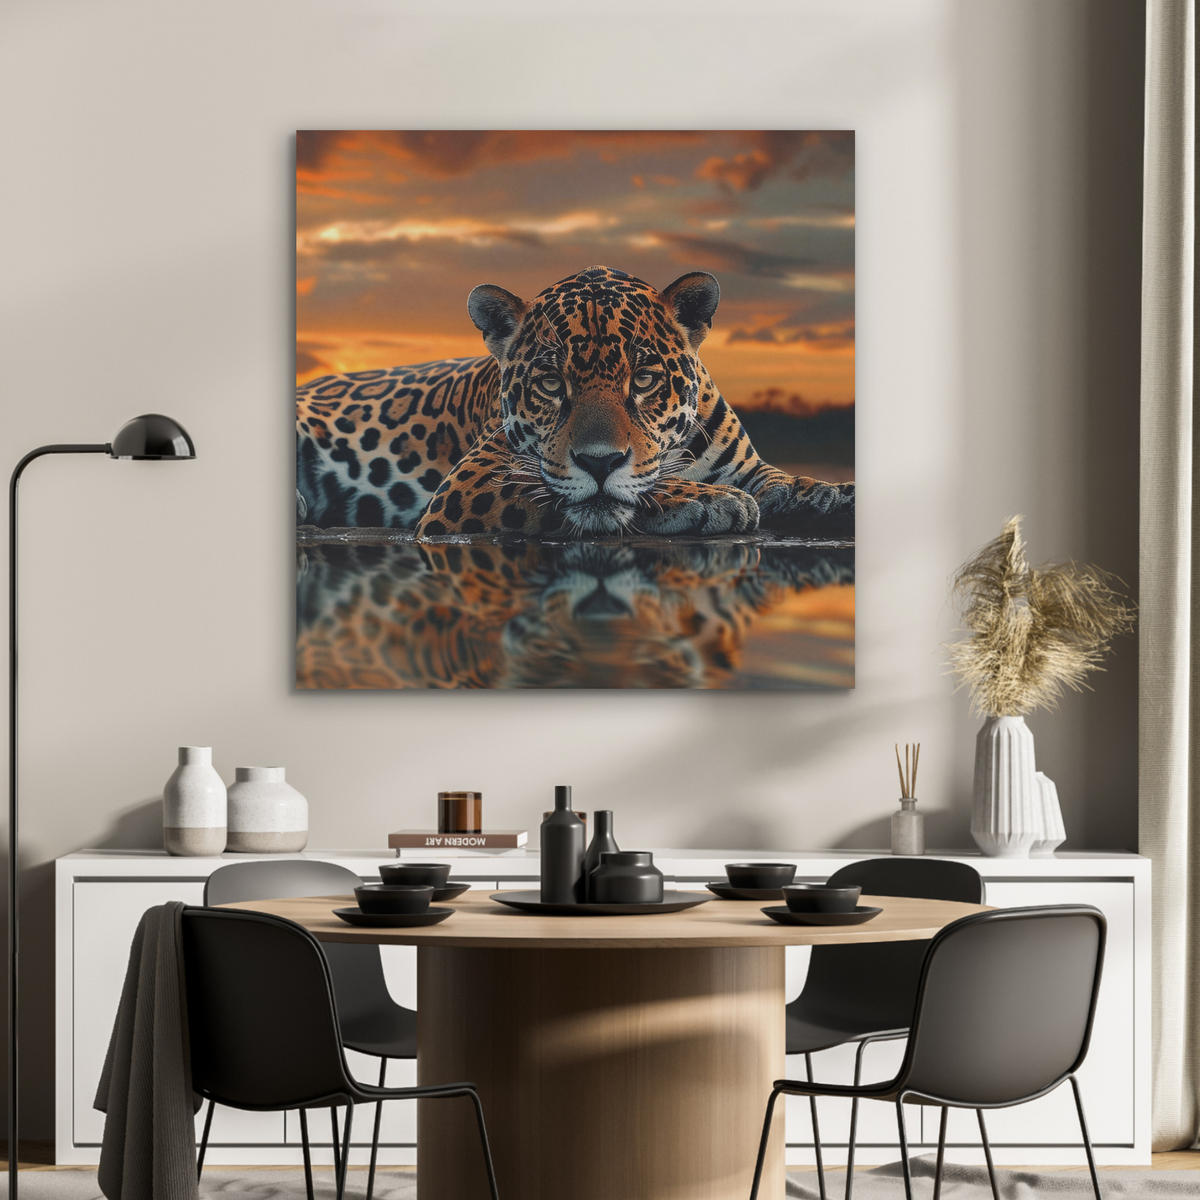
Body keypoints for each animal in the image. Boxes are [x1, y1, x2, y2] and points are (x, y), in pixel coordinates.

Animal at [296, 265, 854, 539]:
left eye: (644, 378)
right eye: (549, 383)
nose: (599, 462)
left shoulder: (750, 467)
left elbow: (787, 481)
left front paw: (833, 494)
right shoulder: (470, 482)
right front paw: (710, 500)